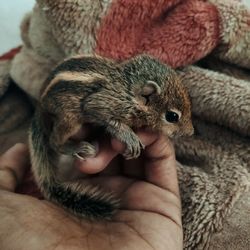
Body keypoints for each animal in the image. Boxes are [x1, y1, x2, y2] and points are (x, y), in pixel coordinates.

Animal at [29, 54, 193, 219]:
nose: (191, 132)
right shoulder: (102, 104)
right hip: (69, 120)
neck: (128, 90)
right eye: (172, 116)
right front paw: (129, 136)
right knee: (54, 142)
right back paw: (76, 148)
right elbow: (106, 118)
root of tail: (40, 105)